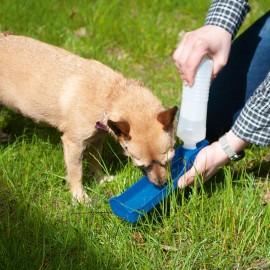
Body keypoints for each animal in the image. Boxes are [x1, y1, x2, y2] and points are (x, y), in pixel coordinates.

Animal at [0, 33, 177, 202]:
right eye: (141, 165)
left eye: (169, 160)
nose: (162, 183)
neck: (109, 95)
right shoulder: (73, 145)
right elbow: (76, 174)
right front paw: (79, 197)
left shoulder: (96, 139)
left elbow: (95, 162)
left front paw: (101, 179)